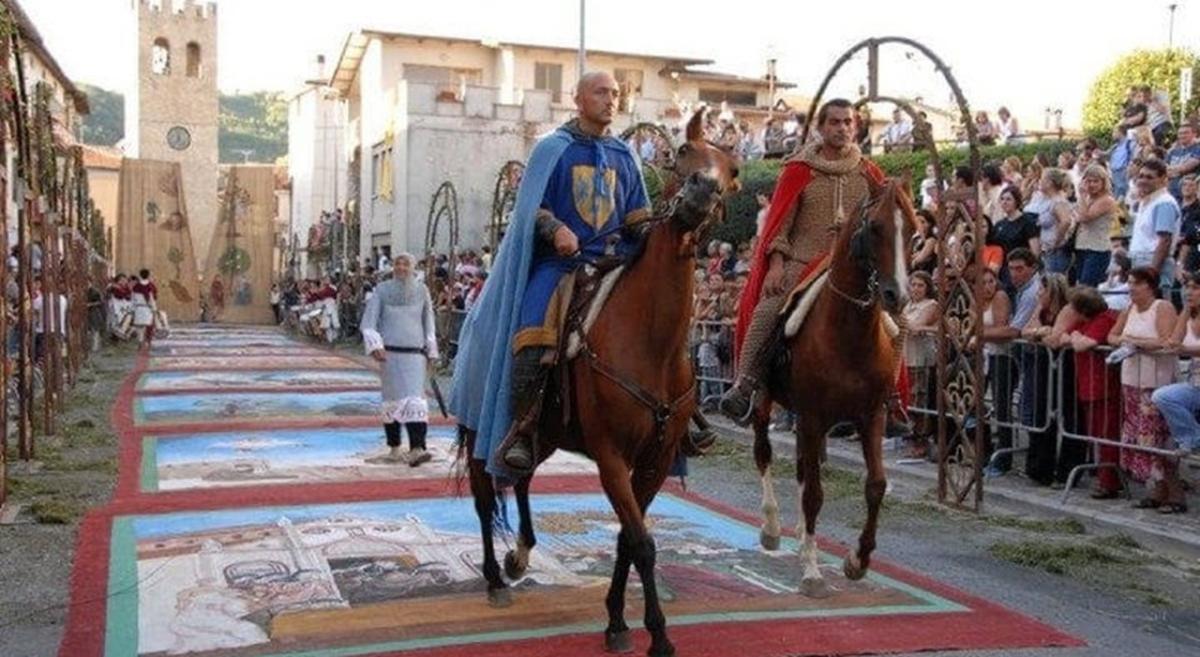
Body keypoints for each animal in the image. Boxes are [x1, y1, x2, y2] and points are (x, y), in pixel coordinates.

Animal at [458, 110, 734, 652]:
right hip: (482, 425)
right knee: (483, 493)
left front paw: (617, 619)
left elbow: (630, 538)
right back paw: (496, 577)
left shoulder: (655, 459)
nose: (701, 193)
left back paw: (520, 554)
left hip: (543, 432)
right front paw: (656, 634)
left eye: (732, 171)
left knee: (521, 474)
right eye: (683, 154)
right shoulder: (611, 456)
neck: (651, 338)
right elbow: (643, 542)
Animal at [753, 177, 912, 597]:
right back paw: (772, 526)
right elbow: (814, 493)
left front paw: (858, 560)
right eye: (876, 228)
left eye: (913, 227)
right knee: (764, 453)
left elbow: (876, 485)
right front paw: (811, 570)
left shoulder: (871, 417)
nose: (898, 296)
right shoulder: (812, 417)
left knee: (801, 468)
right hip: (765, 401)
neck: (849, 335)